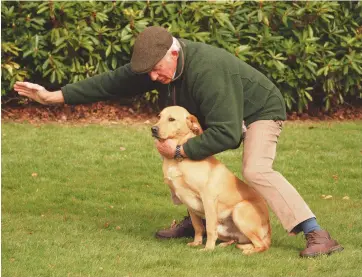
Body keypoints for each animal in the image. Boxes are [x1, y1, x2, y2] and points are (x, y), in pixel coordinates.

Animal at [151, 106, 272, 254]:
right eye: (159, 116)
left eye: (171, 119)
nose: (153, 129)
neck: (177, 159)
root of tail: (269, 230)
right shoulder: (188, 202)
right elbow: (198, 226)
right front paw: (196, 243)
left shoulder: (208, 198)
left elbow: (208, 228)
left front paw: (208, 248)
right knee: (239, 240)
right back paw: (229, 245)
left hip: (239, 210)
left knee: (262, 245)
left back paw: (248, 251)